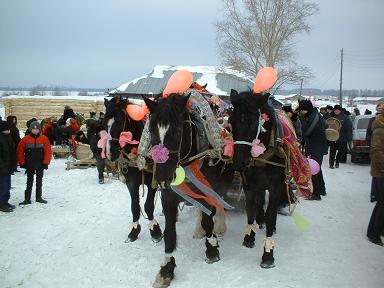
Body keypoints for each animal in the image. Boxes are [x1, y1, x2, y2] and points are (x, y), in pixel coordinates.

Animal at [103, 97, 162, 243]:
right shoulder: (131, 183)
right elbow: (134, 206)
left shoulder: (152, 183)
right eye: (104, 122)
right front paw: (134, 230)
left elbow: (148, 205)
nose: (110, 153)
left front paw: (155, 229)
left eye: (119, 121)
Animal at [145, 94, 232, 288]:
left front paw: (212, 248)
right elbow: (169, 233)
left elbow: (209, 218)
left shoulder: (208, 190)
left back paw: (219, 226)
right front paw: (166, 269)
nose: (161, 178)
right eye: (152, 131)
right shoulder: (168, 197)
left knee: (218, 204)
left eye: (177, 131)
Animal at [228, 89, 288, 268]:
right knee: (260, 201)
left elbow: (271, 214)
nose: (239, 163)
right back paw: (259, 221)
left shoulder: (275, 186)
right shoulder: (249, 185)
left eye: (252, 122)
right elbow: (250, 210)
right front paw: (249, 236)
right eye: (231, 122)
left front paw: (268, 254)